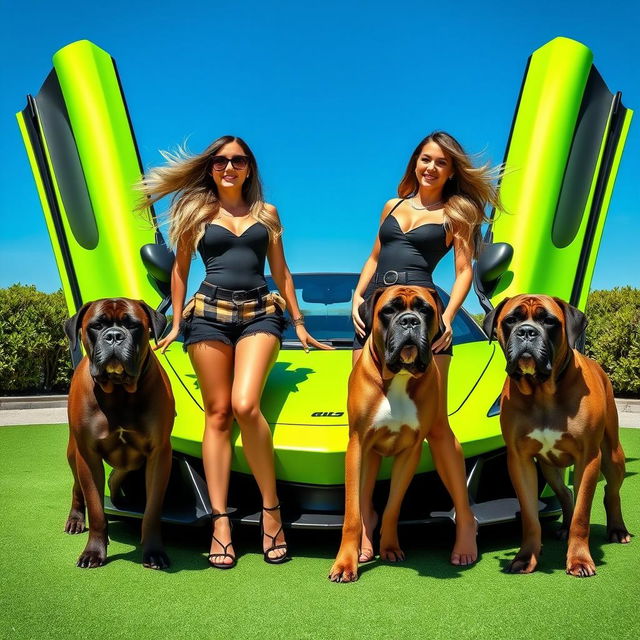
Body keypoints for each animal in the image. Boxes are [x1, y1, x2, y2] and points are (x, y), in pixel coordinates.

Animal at [63, 298, 174, 568]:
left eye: (133, 325)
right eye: (96, 325)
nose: (114, 335)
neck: (120, 391)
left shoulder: (159, 455)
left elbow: (152, 510)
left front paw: (154, 551)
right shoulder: (88, 456)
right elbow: (96, 508)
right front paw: (94, 551)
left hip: (132, 462)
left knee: (116, 476)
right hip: (74, 454)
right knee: (77, 488)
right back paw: (75, 519)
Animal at [330, 284, 444, 580]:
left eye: (425, 310)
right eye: (389, 311)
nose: (409, 321)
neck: (399, 377)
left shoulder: (410, 453)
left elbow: (393, 507)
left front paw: (390, 547)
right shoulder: (357, 447)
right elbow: (353, 514)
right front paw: (345, 563)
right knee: (363, 504)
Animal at [484, 296, 632, 580]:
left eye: (549, 321)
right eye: (511, 320)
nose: (526, 332)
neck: (542, 391)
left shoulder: (588, 459)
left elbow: (582, 515)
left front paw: (579, 560)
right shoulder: (520, 461)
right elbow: (530, 516)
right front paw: (525, 558)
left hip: (612, 456)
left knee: (611, 491)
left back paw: (618, 530)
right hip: (549, 468)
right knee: (565, 493)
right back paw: (564, 526)